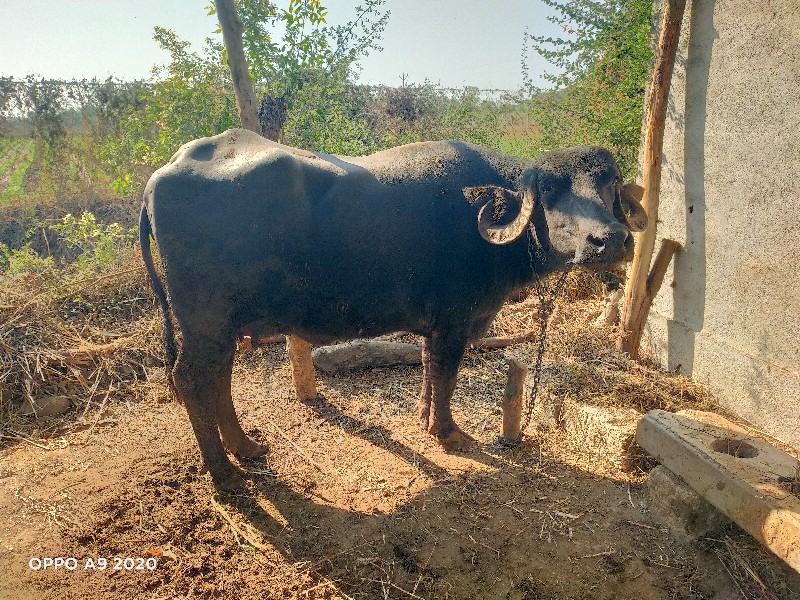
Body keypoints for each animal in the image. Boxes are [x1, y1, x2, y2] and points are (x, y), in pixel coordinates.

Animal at [141, 129, 648, 490]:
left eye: (608, 185)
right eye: (551, 189)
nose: (609, 240)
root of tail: (165, 172)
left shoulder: (434, 326)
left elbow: (428, 370)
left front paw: (425, 420)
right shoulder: (454, 321)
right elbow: (446, 375)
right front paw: (449, 432)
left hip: (223, 327)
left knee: (218, 379)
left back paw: (245, 448)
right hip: (204, 323)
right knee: (192, 379)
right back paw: (223, 473)